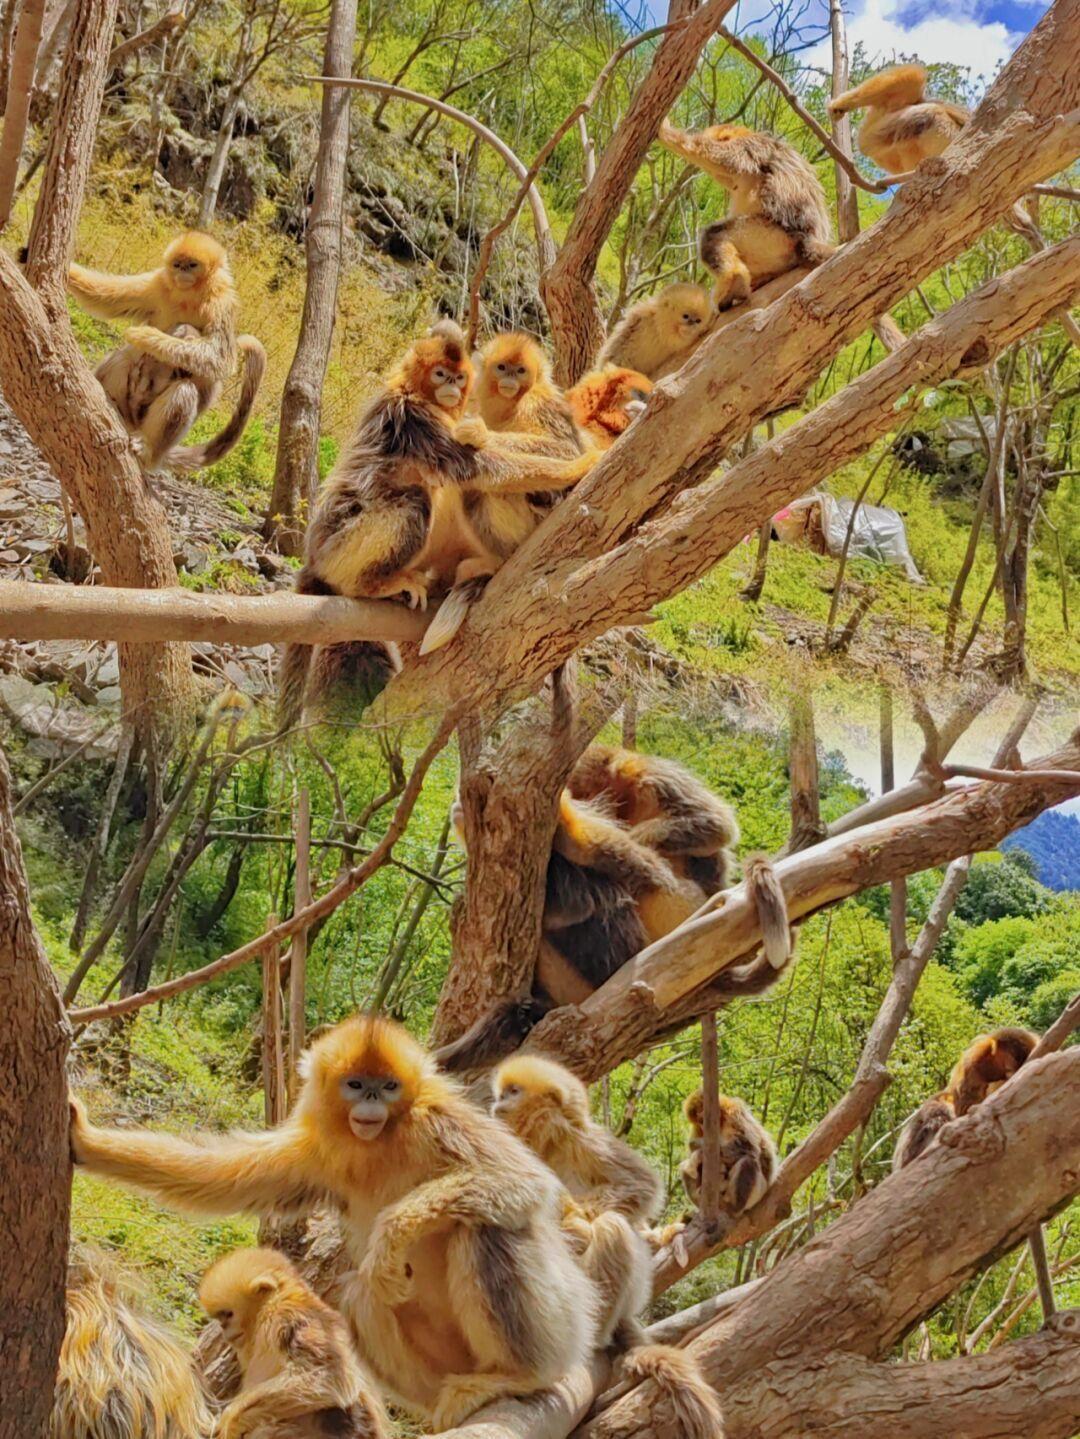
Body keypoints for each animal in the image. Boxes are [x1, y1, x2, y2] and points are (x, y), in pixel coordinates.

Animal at [67, 231, 266, 471]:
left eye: (192, 265)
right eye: (178, 264)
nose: (182, 272)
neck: (190, 297)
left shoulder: (221, 303)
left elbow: (221, 359)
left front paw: (146, 337)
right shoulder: (158, 285)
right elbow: (105, 298)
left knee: (185, 388)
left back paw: (148, 447)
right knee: (125, 358)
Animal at [197, 1249, 385, 1439]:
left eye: (228, 1314)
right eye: (221, 1317)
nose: (223, 1328)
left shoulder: (285, 1315)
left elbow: (331, 1379)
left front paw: (229, 1421)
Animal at [658, 120, 834, 309]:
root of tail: (807, 239)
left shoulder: (747, 146)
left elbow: (706, 151)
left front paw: (664, 132)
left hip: (771, 237)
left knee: (714, 235)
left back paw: (733, 281)